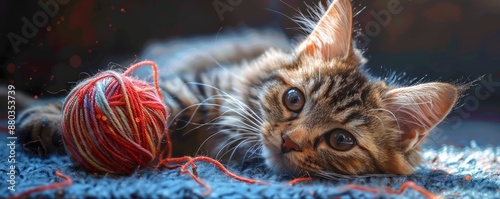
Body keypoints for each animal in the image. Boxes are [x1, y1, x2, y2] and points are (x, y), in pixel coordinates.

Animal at [16, 0, 460, 177]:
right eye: (294, 99)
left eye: (341, 140)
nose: (289, 141)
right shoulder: (206, 86)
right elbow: (150, 97)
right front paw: (52, 121)